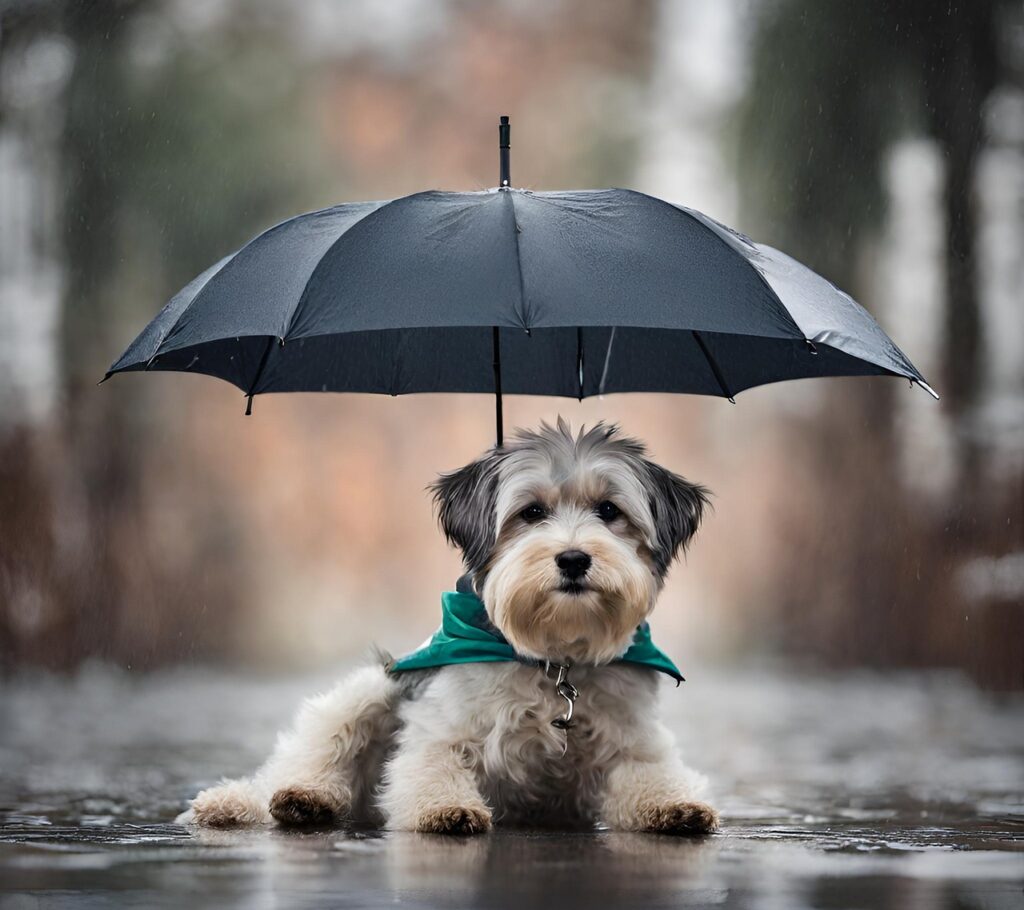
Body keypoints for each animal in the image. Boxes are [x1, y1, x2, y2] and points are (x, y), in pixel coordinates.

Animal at [180, 421, 716, 835]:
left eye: (609, 511)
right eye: (532, 512)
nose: (573, 559)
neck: (553, 659)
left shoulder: (633, 740)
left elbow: (649, 776)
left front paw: (674, 805)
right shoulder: (437, 729)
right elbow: (432, 765)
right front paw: (447, 808)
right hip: (372, 688)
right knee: (305, 761)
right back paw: (292, 799)